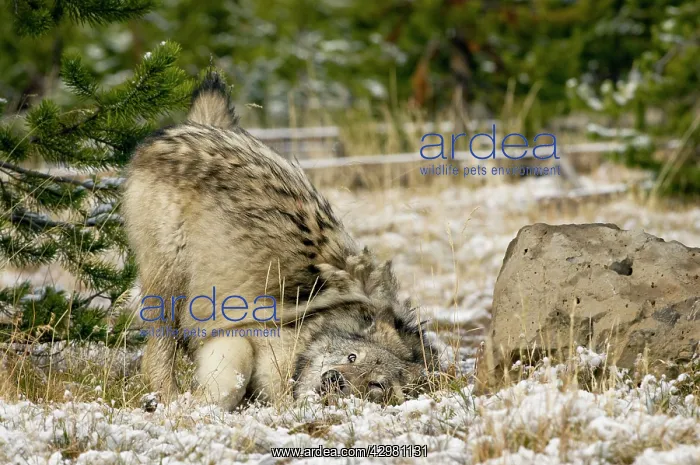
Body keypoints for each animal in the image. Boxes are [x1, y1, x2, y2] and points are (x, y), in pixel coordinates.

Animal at [122, 71, 440, 410]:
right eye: (352, 357)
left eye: (376, 385)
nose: (333, 379)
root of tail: (188, 129)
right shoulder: (238, 337)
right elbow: (230, 383)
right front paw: (197, 406)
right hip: (171, 288)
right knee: (155, 355)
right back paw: (166, 399)